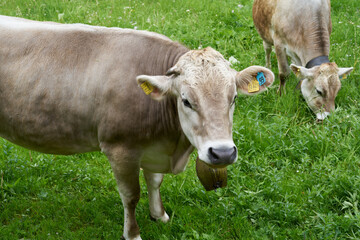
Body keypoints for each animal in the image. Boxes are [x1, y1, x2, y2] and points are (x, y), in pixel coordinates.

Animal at [0, 15, 276, 239]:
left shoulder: (154, 148)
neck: (172, 147)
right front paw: (132, 234)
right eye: (186, 100)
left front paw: (159, 215)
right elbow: (131, 196)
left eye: (234, 98)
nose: (222, 153)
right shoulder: (120, 149)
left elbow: (154, 182)